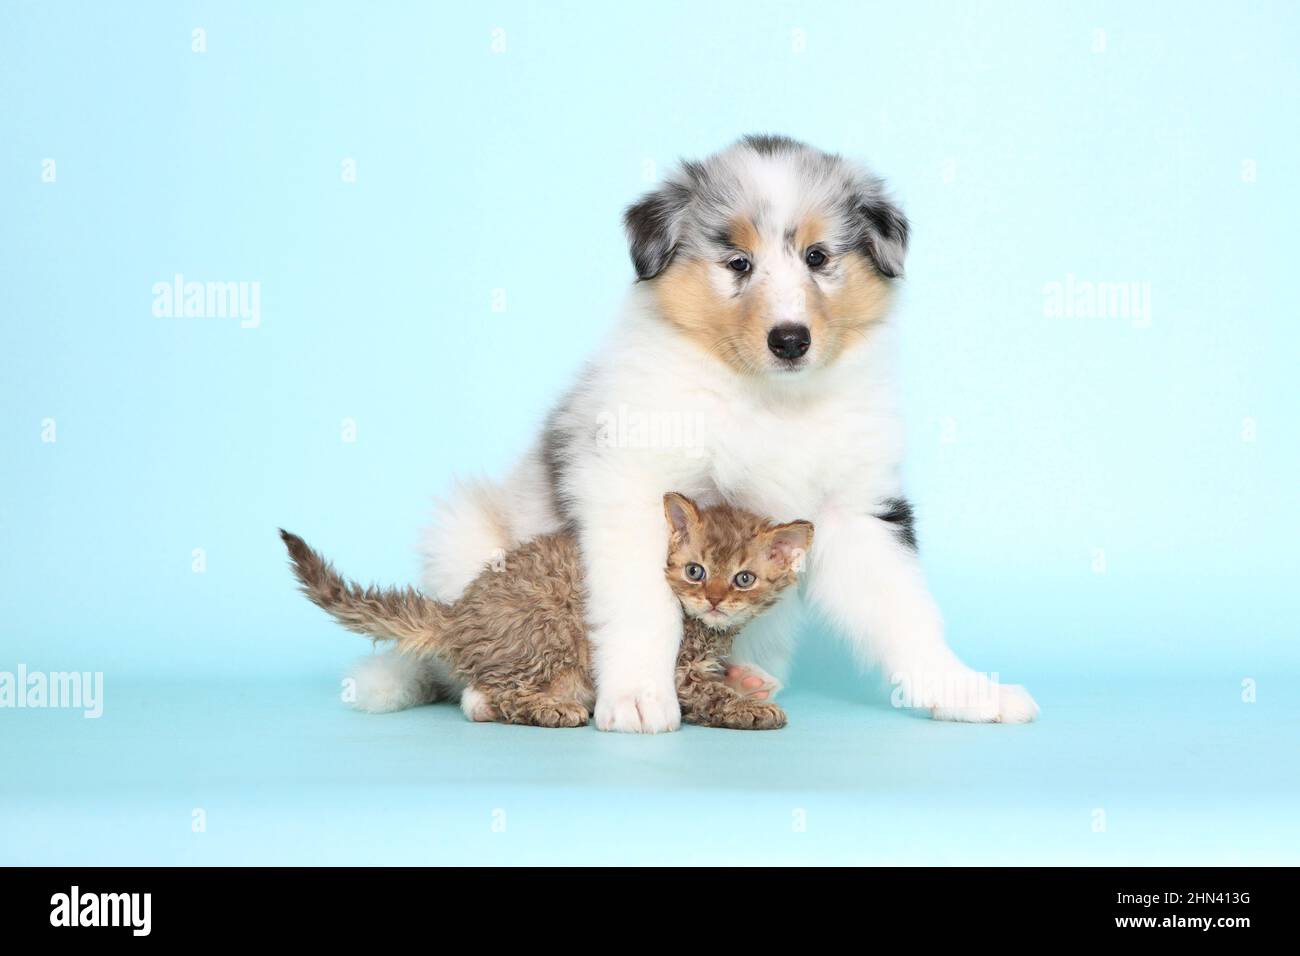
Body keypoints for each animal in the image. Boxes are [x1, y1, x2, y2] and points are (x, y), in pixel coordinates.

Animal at [353, 134, 1034, 733]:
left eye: (818, 258)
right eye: (738, 263)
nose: (791, 340)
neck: (766, 397)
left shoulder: (858, 509)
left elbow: (907, 616)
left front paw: (969, 692)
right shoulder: (634, 485)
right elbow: (645, 606)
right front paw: (636, 699)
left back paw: (747, 678)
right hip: (463, 537)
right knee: (466, 654)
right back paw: (497, 694)